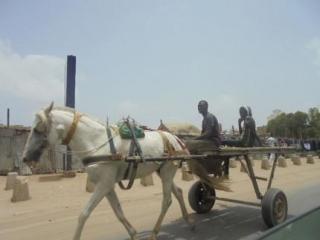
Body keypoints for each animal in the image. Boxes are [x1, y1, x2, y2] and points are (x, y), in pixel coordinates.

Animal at [22, 103, 194, 240]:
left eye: (37, 129)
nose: (25, 158)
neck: (96, 141)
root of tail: (175, 138)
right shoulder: (107, 185)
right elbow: (118, 212)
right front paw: (133, 234)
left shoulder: (104, 184)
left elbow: (83, 214)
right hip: (162, 171)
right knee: (178, 192)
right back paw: (187, 220)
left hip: (167, 171)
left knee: (167, 200)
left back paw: (154, 233)